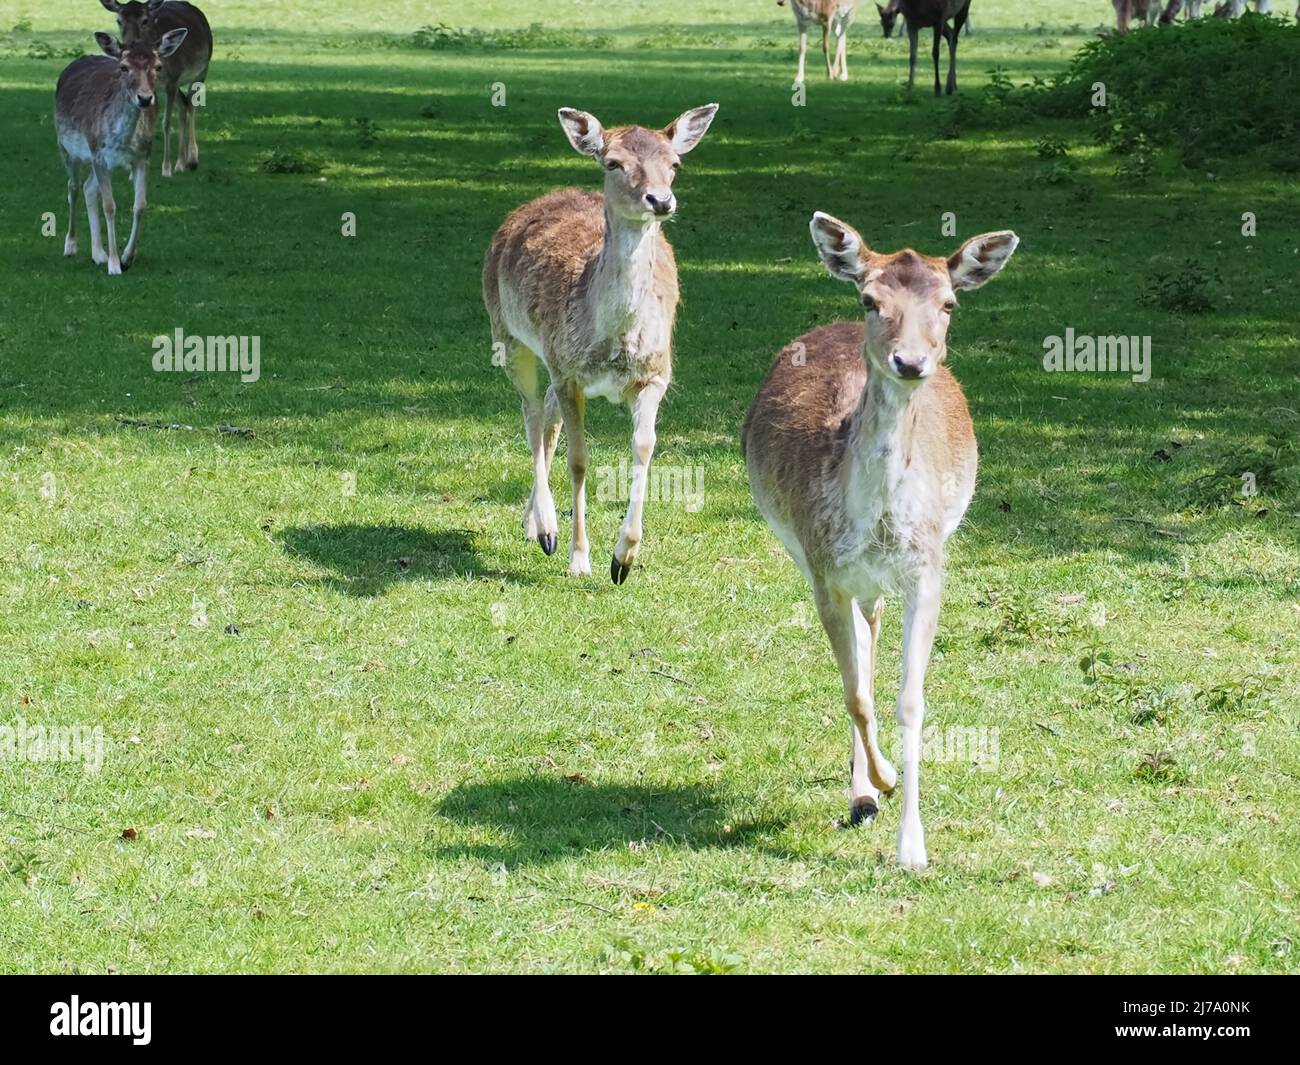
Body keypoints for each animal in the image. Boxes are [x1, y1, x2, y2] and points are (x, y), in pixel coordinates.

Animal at [55, 27, 188, 275]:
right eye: (124, 67)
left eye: (158, 66)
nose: (145, 98)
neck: (123, 141)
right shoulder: (98, 153)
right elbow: (110, 206)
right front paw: (115, 265)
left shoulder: (142, 157)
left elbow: (140, 205)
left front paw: (127, 258)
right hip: (66, 147)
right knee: (73, 187)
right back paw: (71, 245)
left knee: (88, 188)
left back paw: (98, 253)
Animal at [98, 1, 212, 177]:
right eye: (119, 20)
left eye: (145, 20)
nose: (129, 45)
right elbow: (144, 125)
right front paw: (134, 171)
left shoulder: (173, 79)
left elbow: (166, 122)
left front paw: (166, 168)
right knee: (183, 105)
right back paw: (180, 163)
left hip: (201, 71)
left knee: (191, 105)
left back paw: (192, 160)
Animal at [483, 105, 719, 584]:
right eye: (613, 162)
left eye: (675, 164)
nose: (660, 201)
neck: (613, 341)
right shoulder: (569, 371)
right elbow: (579, 460)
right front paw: (579, 558)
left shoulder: (655, 375)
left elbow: (644, 448)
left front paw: (623, 559)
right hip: (509, 336)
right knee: (532, 414)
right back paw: (546, 529)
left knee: (546, 412)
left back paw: (530, 522)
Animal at [742, 212, 1017, 869]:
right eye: (870, 299)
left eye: (948, 303)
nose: (910, 361)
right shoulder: (824, 571)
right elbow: (857, 695)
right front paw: (882, 781)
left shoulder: (928, 567)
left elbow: (909, 700)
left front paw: (913, 847)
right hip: (811, 558)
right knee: (863, 653)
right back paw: (864, 792)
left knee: (873, 631)